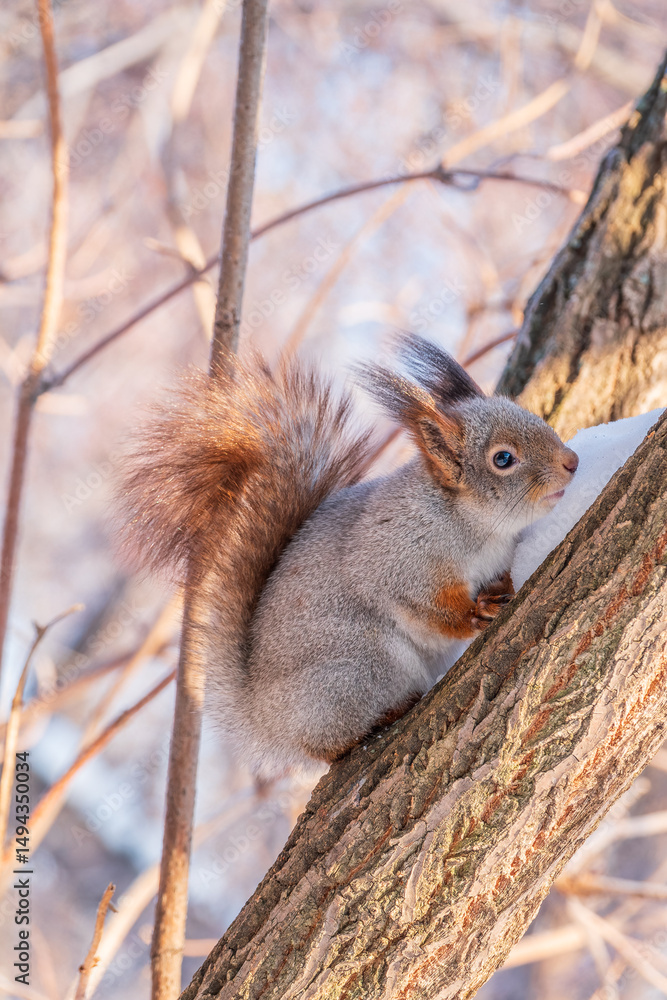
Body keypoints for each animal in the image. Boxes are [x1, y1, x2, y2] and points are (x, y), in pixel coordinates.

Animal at [119, 333, 578, 777]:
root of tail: (264, 718)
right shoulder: (398, 559)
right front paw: (474, 614)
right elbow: (426, 607)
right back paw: (379, 720)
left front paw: (502, 588)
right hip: (361, 666)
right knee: (325, 745)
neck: (478, 525)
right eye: (503, 458)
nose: (572, 461)